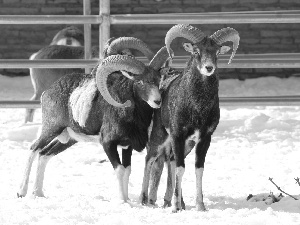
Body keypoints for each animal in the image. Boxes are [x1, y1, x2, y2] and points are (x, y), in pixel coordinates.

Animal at [17, 40, 170, 204]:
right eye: (140, 82)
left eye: (158, 80)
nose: (157, 101)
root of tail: (47, 92)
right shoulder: (108, 144)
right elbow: (120, 170)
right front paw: (122, 200)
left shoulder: (127, 146)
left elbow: (127, 170)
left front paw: (127, 199)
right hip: (51, 130)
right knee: (33, 149)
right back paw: (21, 192)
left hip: (68, 139)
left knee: (44, 154)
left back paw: (38, 193)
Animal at [139, 24, 240, 213]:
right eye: (196, 51)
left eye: (217, 52)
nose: (208, 68)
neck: (198, 108)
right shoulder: (177, 135)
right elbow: (180, 169)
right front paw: (175, 208)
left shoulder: (203, 139)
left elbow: (197, 169)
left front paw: (200, 206)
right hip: (160, 137)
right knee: (150, 159)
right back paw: (144, 200)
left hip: (186, 145)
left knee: (170, 161)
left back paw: (173, 201)